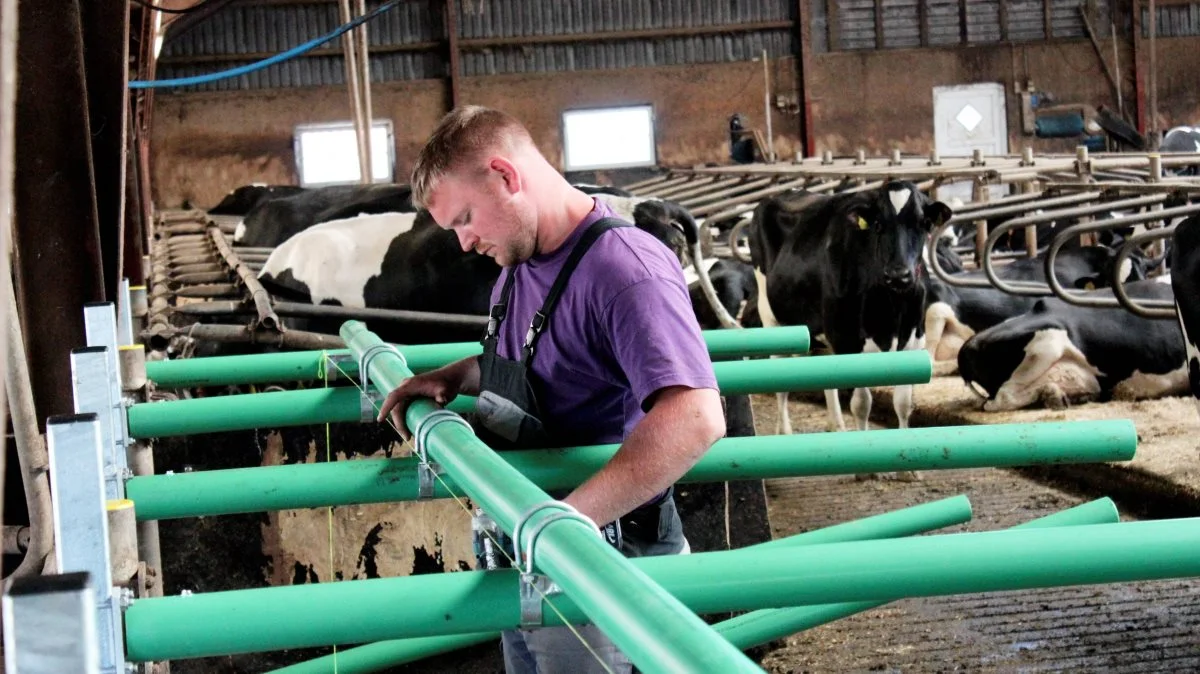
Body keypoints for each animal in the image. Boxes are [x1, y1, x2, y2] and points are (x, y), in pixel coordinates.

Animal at [748, 179, 955, 429]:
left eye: (923, 223)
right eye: (877, 224)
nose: (899, 274)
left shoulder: (913, 340)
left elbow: (904, 404)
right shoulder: (847, 340)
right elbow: (861, 405)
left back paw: (836, 427)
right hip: (772, 317)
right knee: (780, 377)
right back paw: (785, 431)